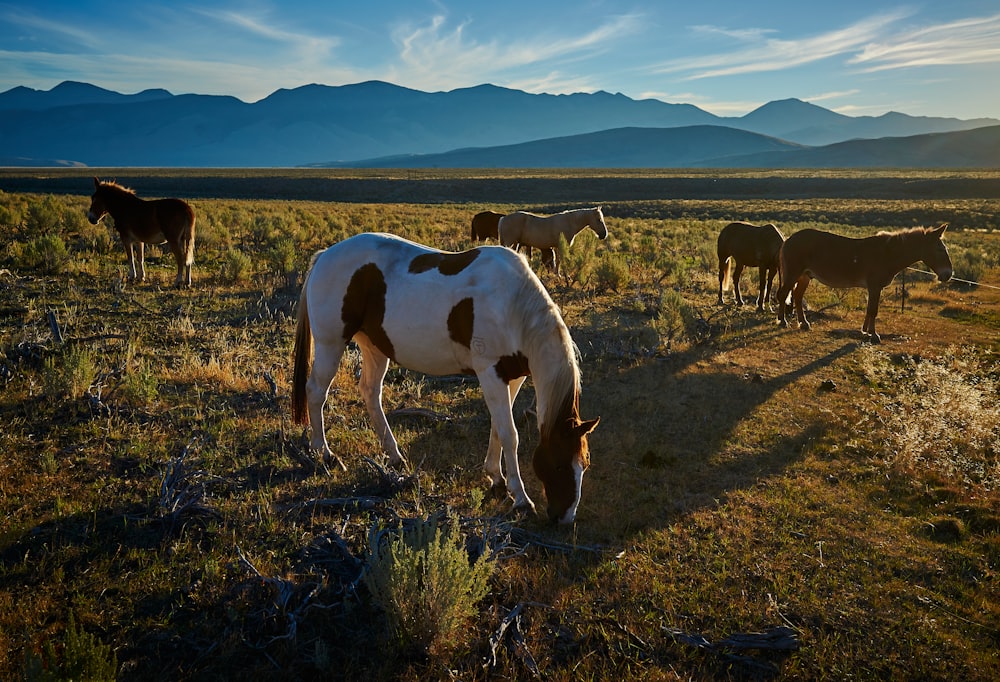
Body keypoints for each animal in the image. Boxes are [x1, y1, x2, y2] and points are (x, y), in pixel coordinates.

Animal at [292, 231, 600, 524]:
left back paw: (394, 456)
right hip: (331, 343)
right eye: (559, 464)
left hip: (375, 347)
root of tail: (324, 256)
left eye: (584, 464)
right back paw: (325, 455)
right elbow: (510, 435)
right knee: (316, 391)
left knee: (370, 393)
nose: (564, 518)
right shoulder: (490, 372)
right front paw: (521, 498)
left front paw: (496, 478)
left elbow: (498, 428)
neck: (513, 305)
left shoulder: (512, 378)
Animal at [772, 222, 952, 340]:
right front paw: (873, 334)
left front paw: (864, 331)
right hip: (793, 274)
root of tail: (788, 239)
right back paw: (782, 321)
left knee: (797, 296)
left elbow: (869, 309)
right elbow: (873, 310)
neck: (888, 253)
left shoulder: (873, 288)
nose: (948, 275)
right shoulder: (874, 287)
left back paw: (803, 323)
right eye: (939, 249)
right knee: (783, 294)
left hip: (805, 276)